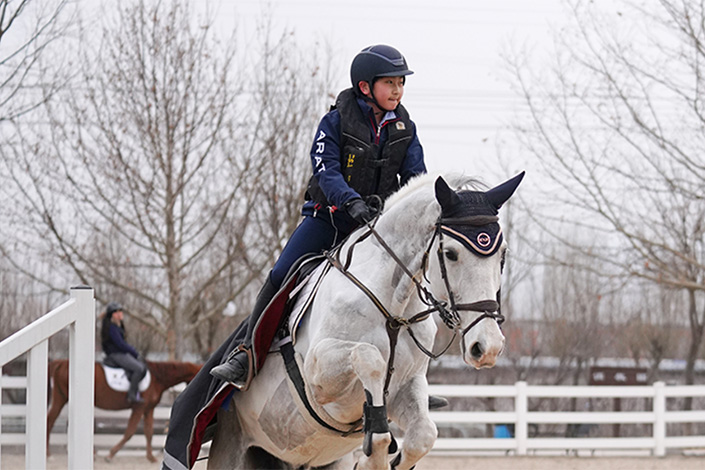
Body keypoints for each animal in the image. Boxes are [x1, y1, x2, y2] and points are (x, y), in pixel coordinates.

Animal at [46, 360, 201, 462]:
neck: (158, 377)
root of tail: (61, 362)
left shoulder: (149, 409)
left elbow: (149, 432)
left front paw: (150, 457)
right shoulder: (139, 408)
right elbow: (130, 432)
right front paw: (110, 454)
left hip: (61, 397)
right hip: (64, 398)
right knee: (51, 421)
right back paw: (50, 454)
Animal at [206, 173, 520, 470]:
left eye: (503, 254)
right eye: (450, 253)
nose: (488, 347)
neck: (395, 310)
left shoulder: (408, 385)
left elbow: (423, 435)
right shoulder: (317, 378)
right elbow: (369, 358)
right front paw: (375, 449)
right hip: (231, 446)